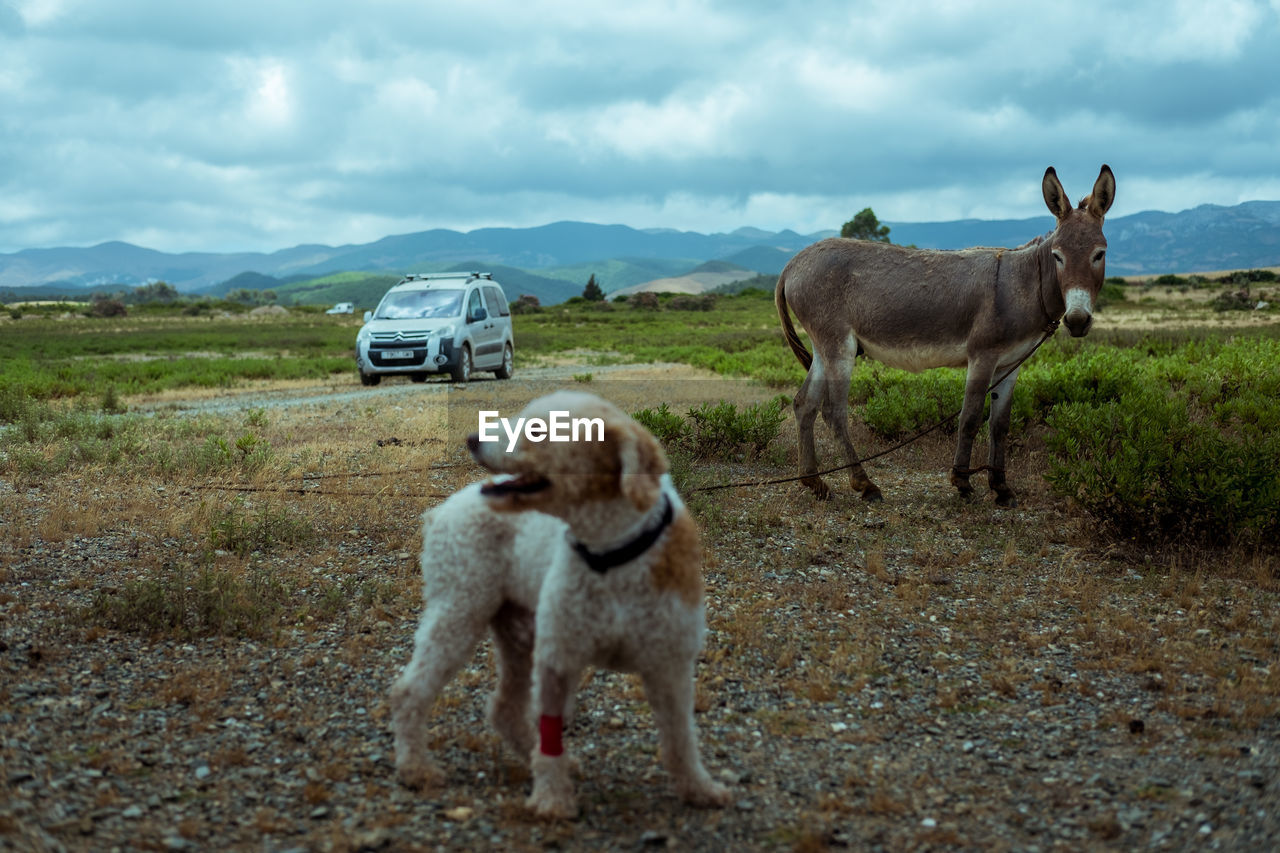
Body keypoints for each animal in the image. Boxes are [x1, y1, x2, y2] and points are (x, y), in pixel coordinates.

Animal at [386, 389, 732, 814]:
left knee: (504, 709)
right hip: (460, 612)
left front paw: (699, 788)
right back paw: (415, 768)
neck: (611, 554)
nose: (471, 438)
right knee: (409, 692)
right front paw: (552, 800)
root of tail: (440, 509)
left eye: (537, 429)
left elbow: (681, 736)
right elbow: (550, 732)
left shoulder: (671, 665)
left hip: (518, 632)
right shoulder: (557, 657)